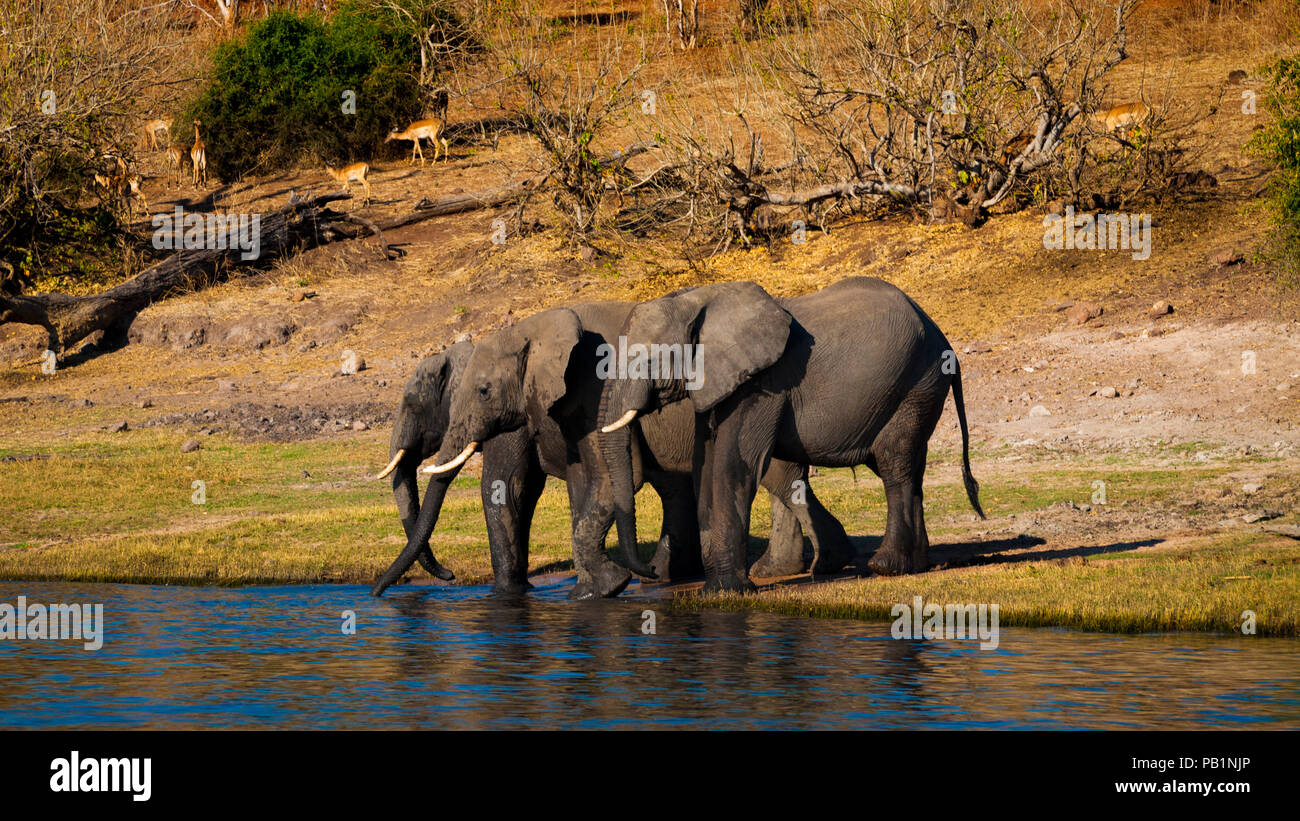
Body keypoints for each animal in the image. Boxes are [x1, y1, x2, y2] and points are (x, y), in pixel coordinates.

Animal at [377, 298, 857, 600]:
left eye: (413, 404)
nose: (450, 575)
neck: (522, 331)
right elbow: (558, 486)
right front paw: (584, 588)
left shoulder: (579, 400)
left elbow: (507, 487)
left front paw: (526, 593)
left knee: (775, 477)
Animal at [595, 274, 977, 589]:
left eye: (647, 360)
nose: (648, 573)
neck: (700, 298)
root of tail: (943, 338)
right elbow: (705, 466)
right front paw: (717, 589)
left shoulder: (764, 384)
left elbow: (732, 466)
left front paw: (725, 591)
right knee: (909, 468)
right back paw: (916, 565)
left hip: (917, 382)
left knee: (893, 462)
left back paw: (886, 566)